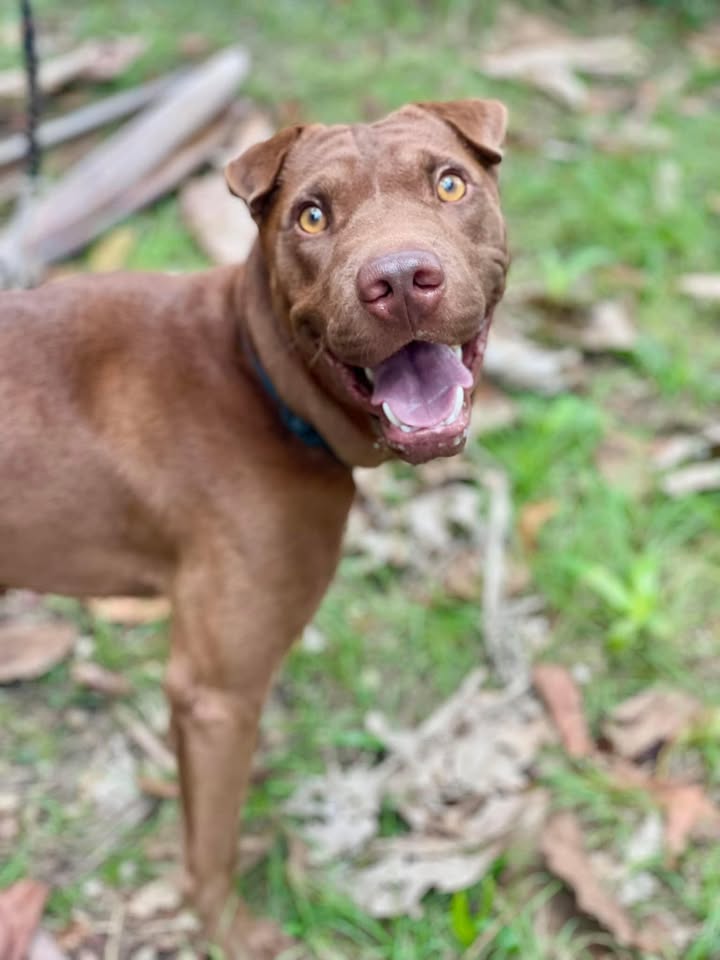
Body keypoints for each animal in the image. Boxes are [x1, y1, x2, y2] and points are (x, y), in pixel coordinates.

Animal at [0, 99, 506, 960]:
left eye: (449, 184)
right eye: (311, 216)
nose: (401, 279)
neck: (258, 377)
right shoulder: (214, 692)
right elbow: (211, 847)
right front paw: (230, 932)